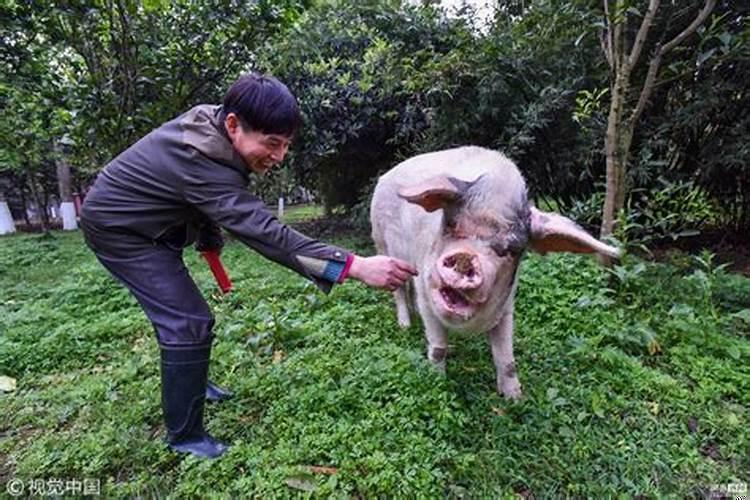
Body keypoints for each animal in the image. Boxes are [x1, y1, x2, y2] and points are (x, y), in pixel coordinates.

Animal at [372, 146, 624, 400]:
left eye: (510, 249)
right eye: (451, 225)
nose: (465, 257)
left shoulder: (506, 306)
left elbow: (506, 357)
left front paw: (515, 398)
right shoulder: (427, 293)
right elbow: (438, 348)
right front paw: (437, 382)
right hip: (383, 244)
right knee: (398, 290)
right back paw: (405, 325)